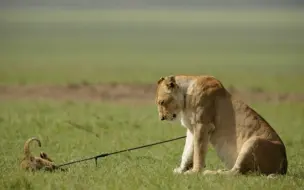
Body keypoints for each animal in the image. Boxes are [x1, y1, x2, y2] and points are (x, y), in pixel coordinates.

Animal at [156, 75, 288, 176]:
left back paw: (211, 173)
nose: (162, 118)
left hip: (254, 141)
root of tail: (284, 166)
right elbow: (188, 151)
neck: (185, 94)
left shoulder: (202, 125)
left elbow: (198, 152)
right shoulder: (192, 129)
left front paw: (195, 172)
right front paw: (181, 170)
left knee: (235, 173)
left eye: (161, 102)